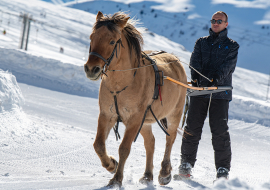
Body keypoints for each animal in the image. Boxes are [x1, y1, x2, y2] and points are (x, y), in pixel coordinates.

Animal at [83, 11, 187, 186]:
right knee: (150, 142)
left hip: (174, 114)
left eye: (112, 41)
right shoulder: (107, 115)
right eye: (92, 37)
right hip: (145, 122)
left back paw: (164, 173)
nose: (91, 69)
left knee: (170, 139)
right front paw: (111, 165)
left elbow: (124, 149)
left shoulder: (134, 120)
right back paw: (147, 175)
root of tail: (175, 60)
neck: (120, 85)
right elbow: (98, 145)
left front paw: (117, 178)